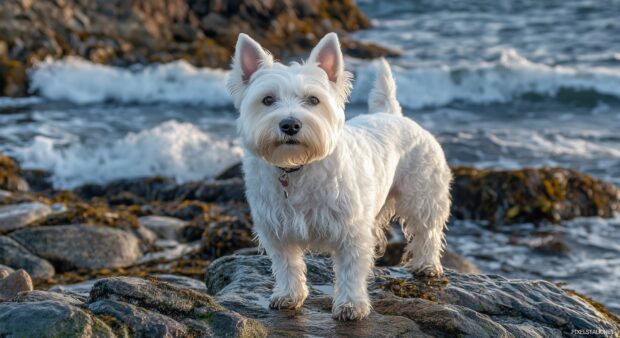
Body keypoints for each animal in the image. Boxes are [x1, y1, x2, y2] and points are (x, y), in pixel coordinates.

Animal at [228, 33, 450, 320]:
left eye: (313, 100)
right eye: (267, 100)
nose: (290, 125)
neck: (297, 167)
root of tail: (393, 114)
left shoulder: (350, 231)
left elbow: (350, 271)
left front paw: (351, 305)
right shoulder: (277, 231)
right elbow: (287, 266)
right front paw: (289, 295)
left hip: (423, 196)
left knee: (427, 230)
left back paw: (427, 265)